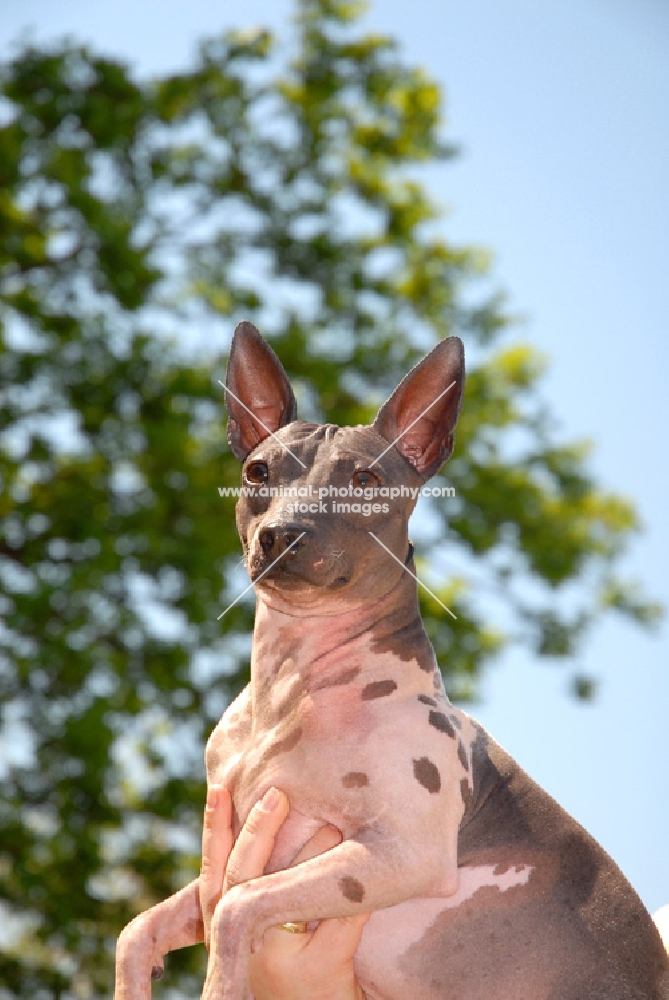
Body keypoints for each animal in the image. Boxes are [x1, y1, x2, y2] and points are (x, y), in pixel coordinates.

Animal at [116, 324, 668, 996]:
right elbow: (138, 927)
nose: (283, 534)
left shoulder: (402, 854)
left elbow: (235, 907)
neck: (289, 687)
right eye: (257, 470)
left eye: (364, 481)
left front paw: (221, 984)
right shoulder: (218, 867)